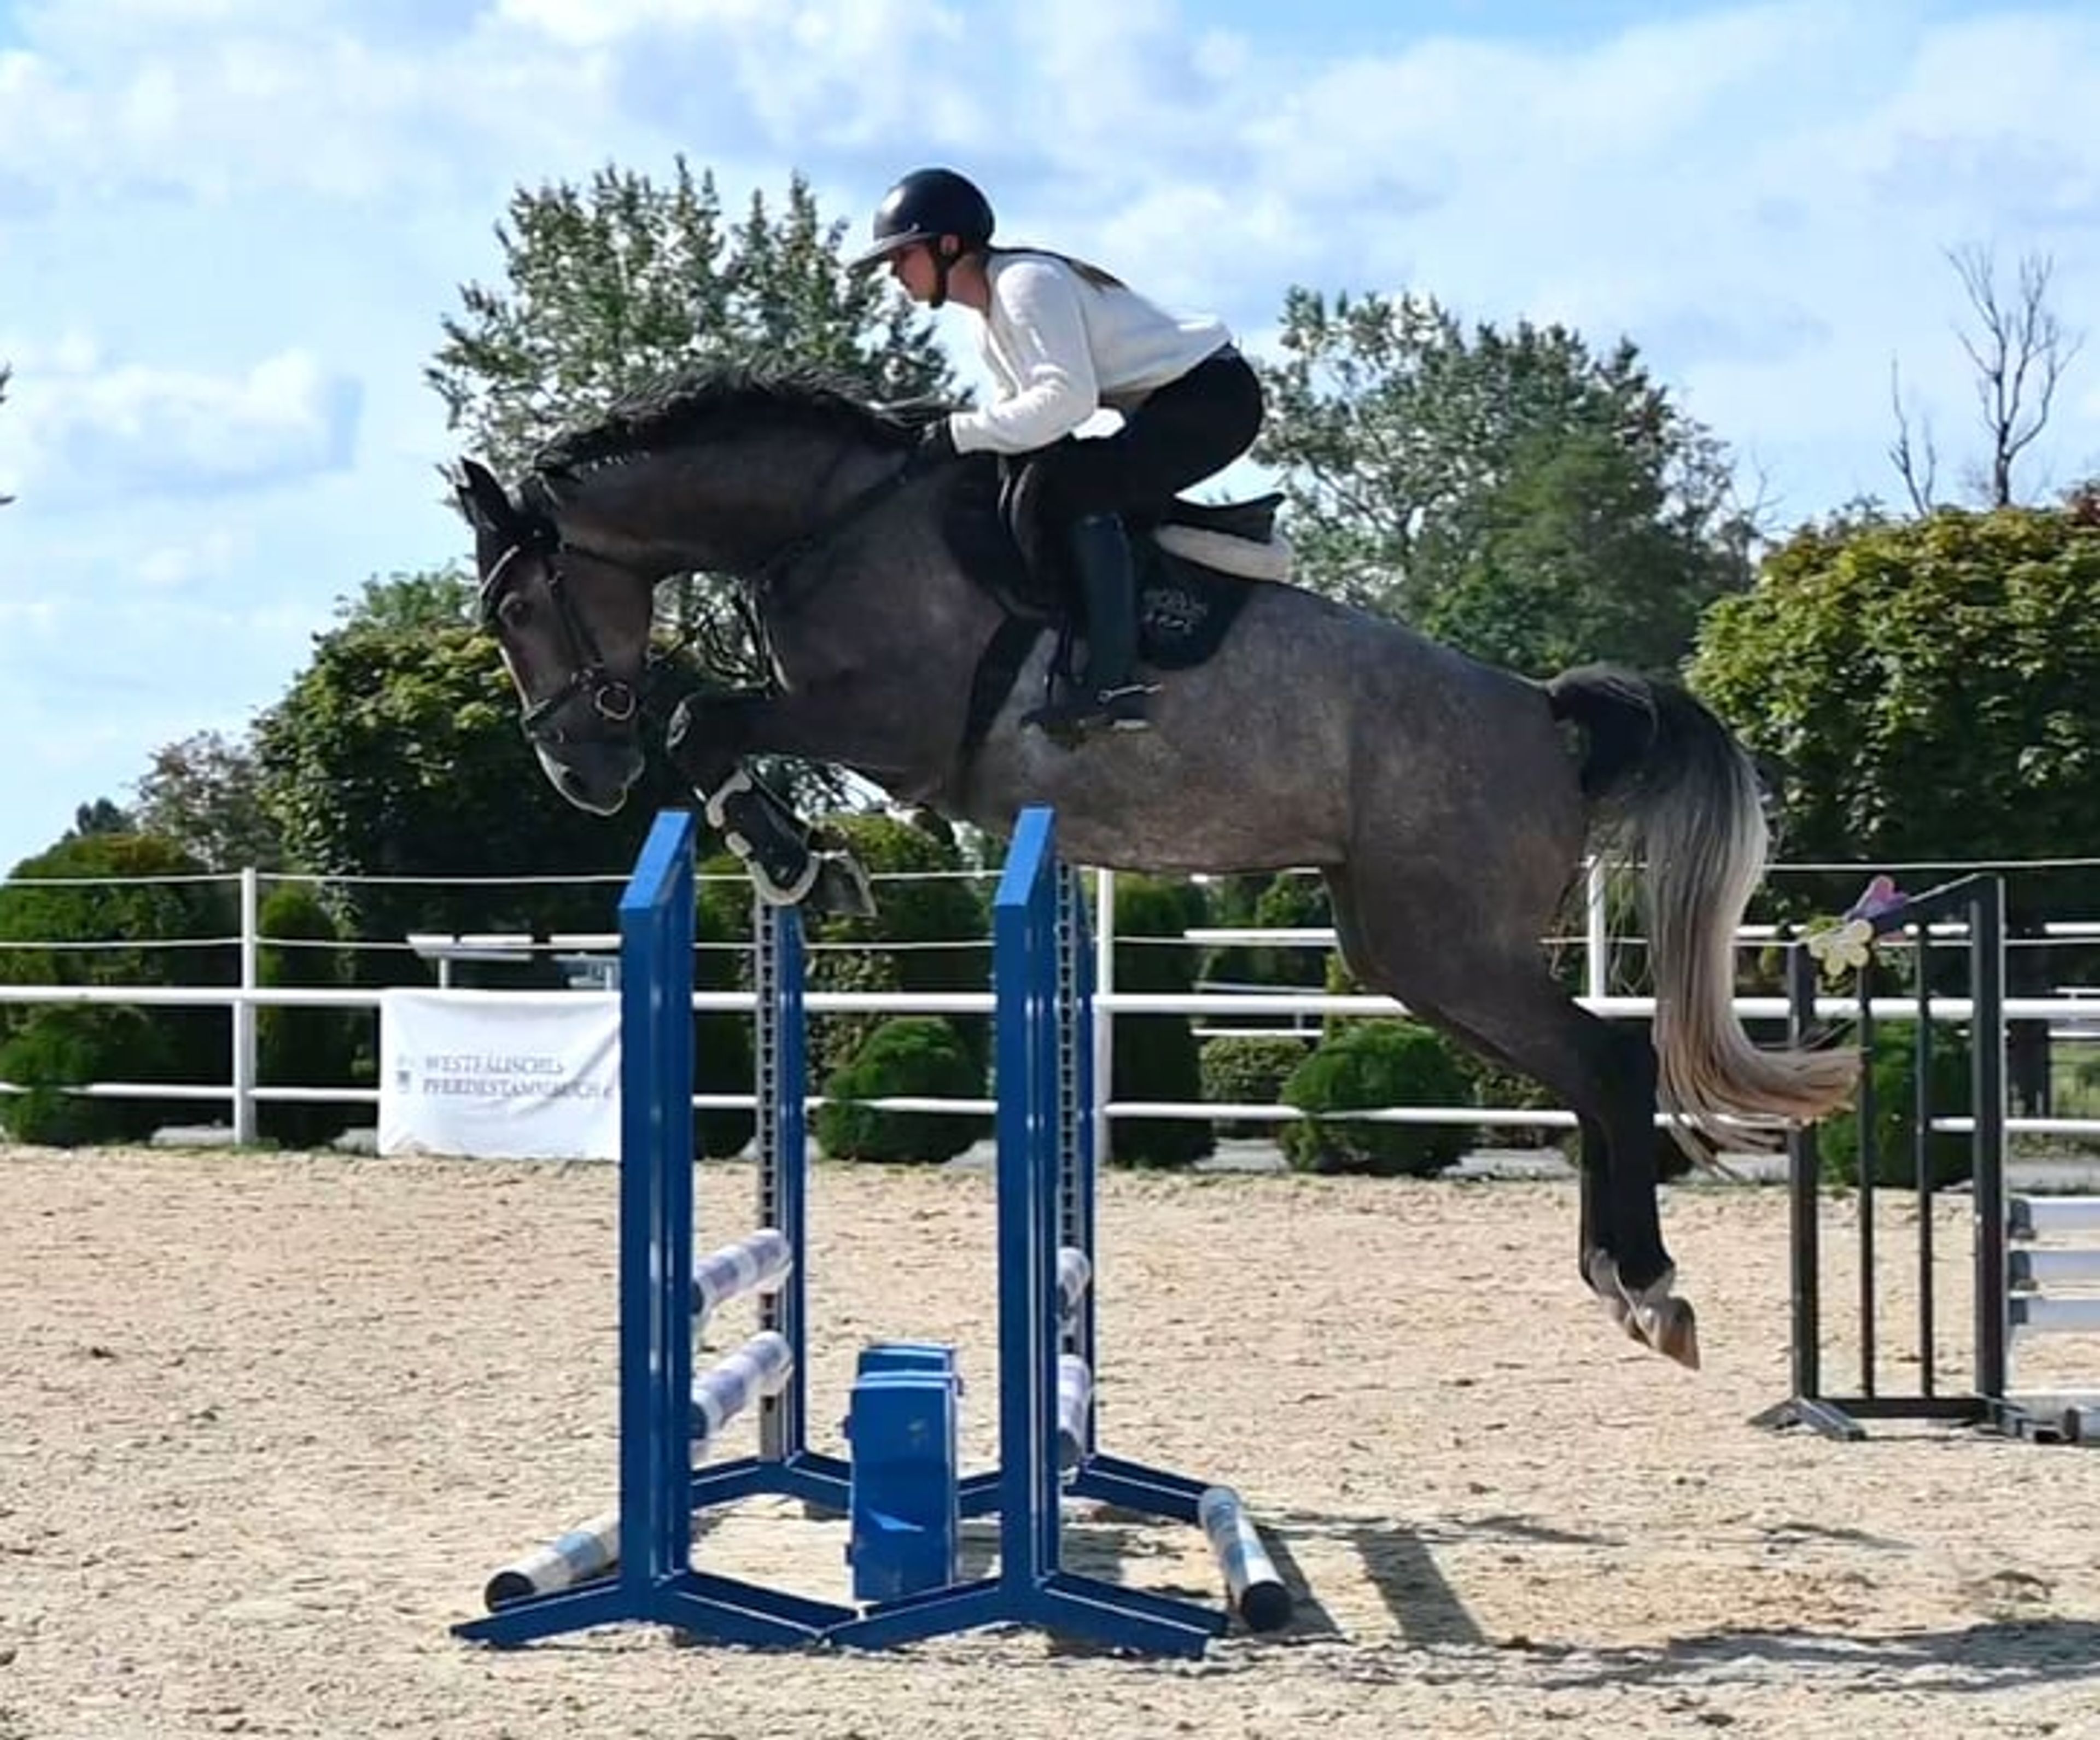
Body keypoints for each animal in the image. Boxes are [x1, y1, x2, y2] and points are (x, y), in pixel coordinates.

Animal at [450, 363, 1857, 1370]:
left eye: (516, 609)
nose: (578, 772)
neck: (830, 522)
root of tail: (1542, 712)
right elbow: (708, 727)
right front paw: (801, 861)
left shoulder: (891, 727)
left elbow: (703, 720)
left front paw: (801, 859)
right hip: (1409, 950)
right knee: (1582, 1071)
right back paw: (1615, 1276)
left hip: (1448, 943)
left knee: (1608, 1061)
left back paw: (1648, 1285)